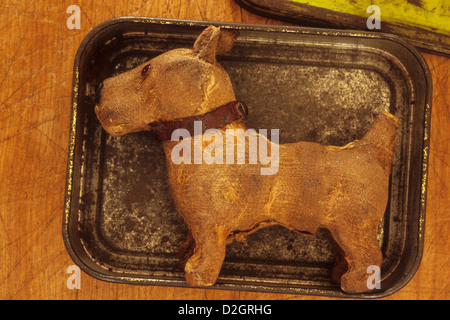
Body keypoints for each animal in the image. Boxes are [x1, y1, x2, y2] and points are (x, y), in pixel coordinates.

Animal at [95, 26, 398, 294]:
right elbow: (193, 244)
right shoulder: (197, 225)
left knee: (370, 259)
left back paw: (353, 283)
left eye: (146, 69)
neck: (202, 134)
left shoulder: (210, 226)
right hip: (339, 232)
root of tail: (372, 149)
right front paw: (185, 256)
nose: (99, 87)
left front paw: (197, 275)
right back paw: (338, 273)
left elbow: (209, 257)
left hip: (354, 228)